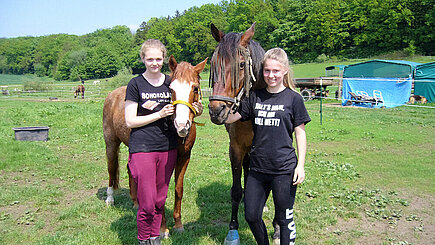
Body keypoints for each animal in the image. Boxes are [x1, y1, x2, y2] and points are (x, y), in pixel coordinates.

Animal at [104, 56, 209, 237]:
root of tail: (112, 95)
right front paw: (162, 229)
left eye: (195, 88)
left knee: (130, 170)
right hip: (110, 143)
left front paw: (178, 224)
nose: (182, 125)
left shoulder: (184, 157)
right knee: (111, 169)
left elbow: (178, 189)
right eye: (171, 89)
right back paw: (110, 199)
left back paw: (136, 202)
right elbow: (160, 192)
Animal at [208, 22, 280, 243]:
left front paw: (276, 227)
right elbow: (235, 191)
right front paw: (233, 228)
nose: (216, 111)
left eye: (241, 65)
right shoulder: (236, 148)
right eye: (213, 64)